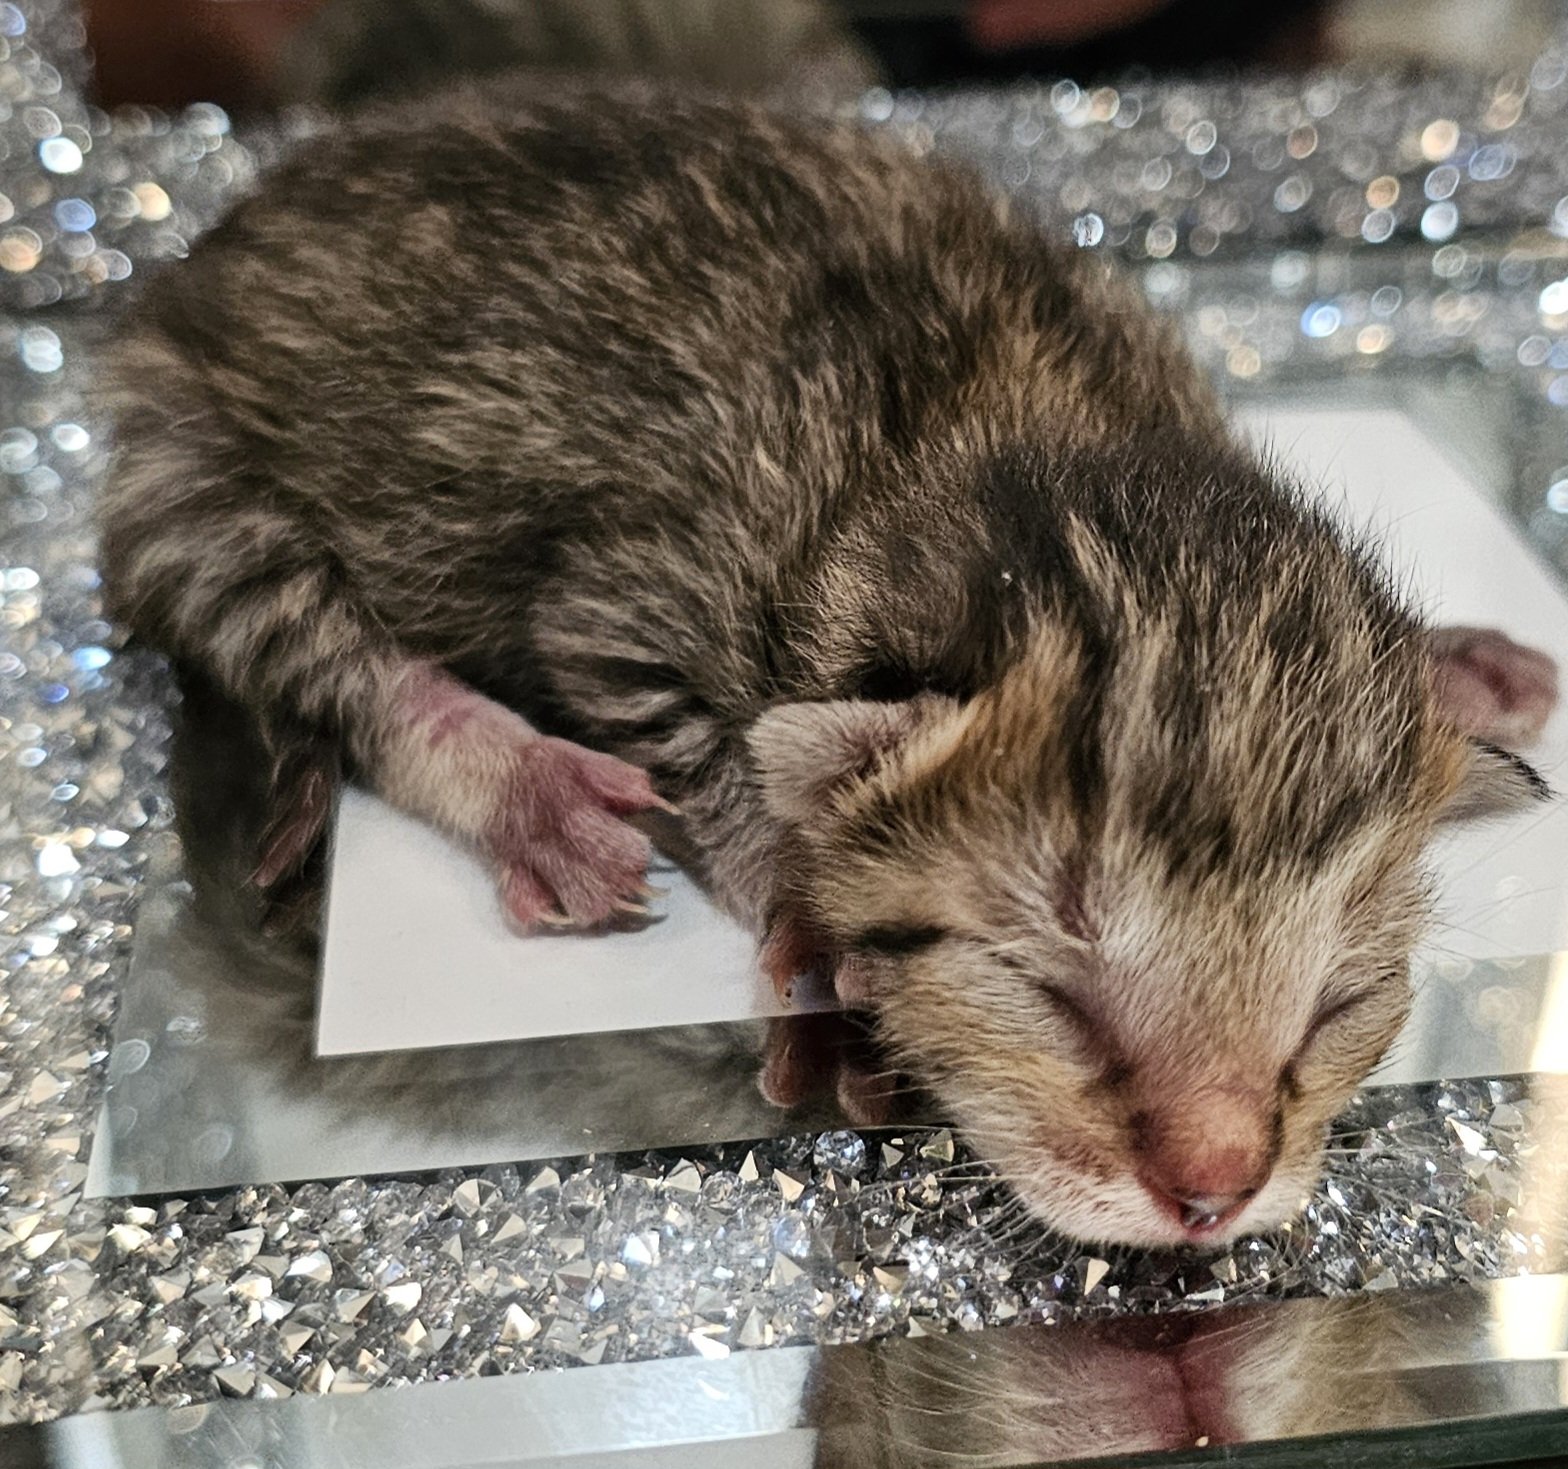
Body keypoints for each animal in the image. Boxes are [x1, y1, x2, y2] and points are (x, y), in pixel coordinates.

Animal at [99, 80, 1558, 1248]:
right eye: (1053, 995)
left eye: (1337, 1004)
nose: (1213, 1191)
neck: (1026, 430)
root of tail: (235, 226)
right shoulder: (628, 598)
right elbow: (710, 749)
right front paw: (809, 916)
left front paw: (1446, 663)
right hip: (185, 471)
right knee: (325, 652)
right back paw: (526, 791)